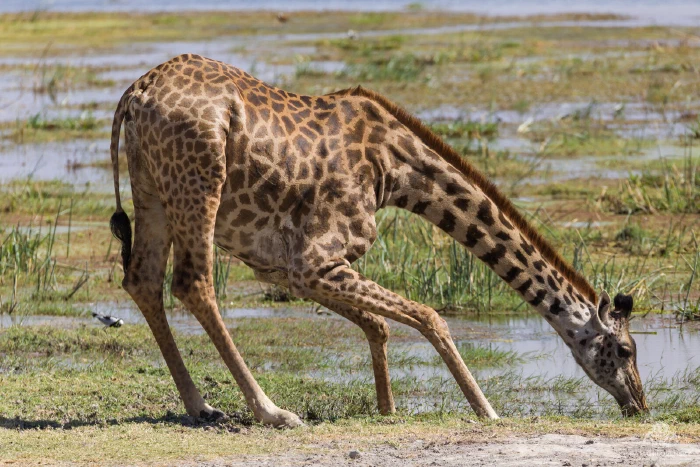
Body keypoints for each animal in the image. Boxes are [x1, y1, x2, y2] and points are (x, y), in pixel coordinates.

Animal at [109, 54, 648, 427]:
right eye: (624, 351)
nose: (639, 404)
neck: (396, 173)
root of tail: (135, 94)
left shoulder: (289, 269)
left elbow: (380, 324)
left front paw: (386, 408)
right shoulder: (316, 260)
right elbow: (430, 316)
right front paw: (487, 410)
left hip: (153, 190)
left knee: (143, 280)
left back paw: (200, 406)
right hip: (200, 183)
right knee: (193, 284)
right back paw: (271, 411)